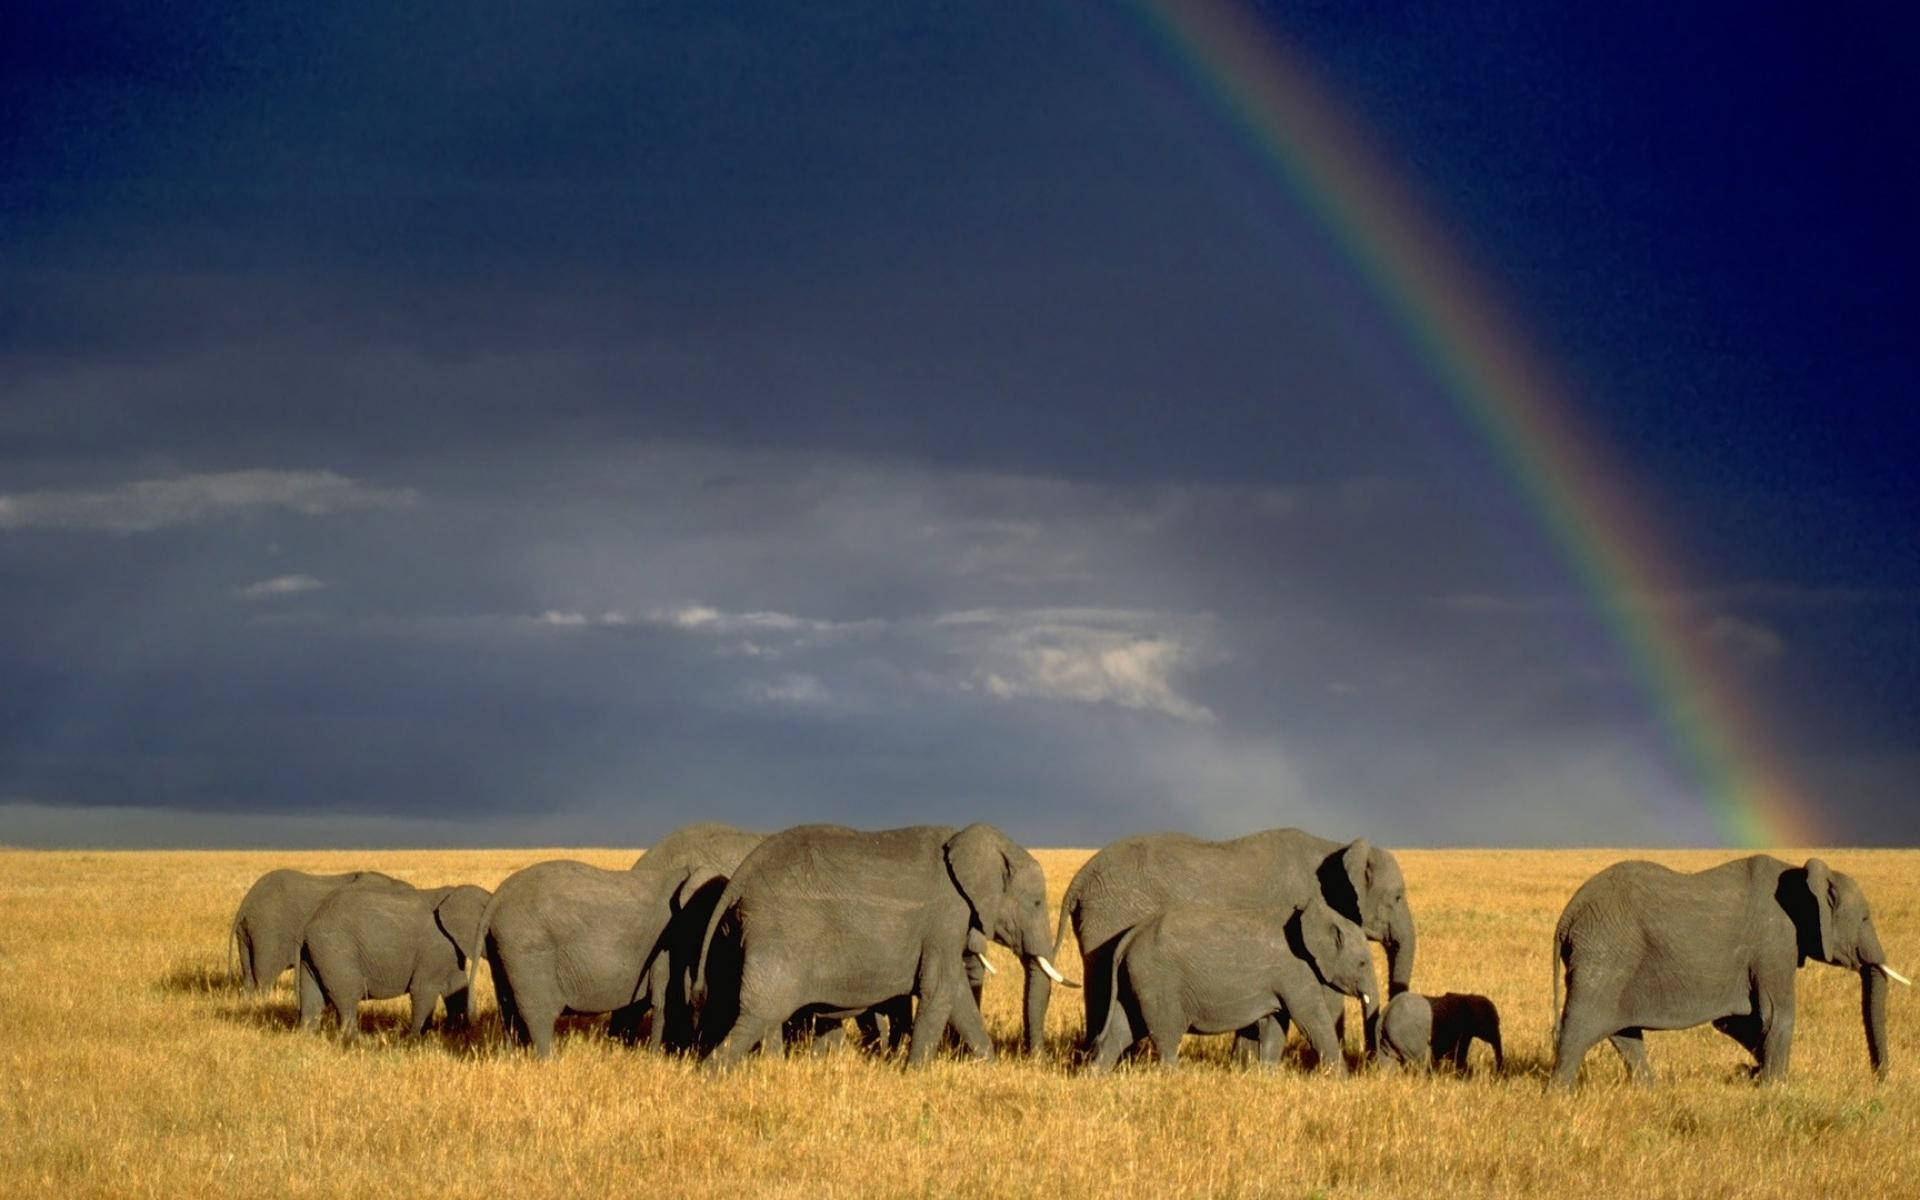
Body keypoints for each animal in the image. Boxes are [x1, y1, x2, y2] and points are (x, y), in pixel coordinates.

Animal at [297, 883, 491, 1039]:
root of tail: (310, 924)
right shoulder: (434, 948)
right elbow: (423, 989)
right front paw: (415, 1041)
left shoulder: (451, 951)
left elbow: (458, 988)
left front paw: (458, 1035)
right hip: (336, 951)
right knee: (348, 995)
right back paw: (355, 1042)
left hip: (316, 953)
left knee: (312, 996)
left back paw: (308, 1039)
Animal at [466, 859, 693, 1058]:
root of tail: (497, 897)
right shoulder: (670, 944)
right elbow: (665, 1000)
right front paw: (656, 1057)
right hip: (528, 948)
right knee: (538, 1013)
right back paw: (547, 1062)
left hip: (501, 949)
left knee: (507, 1009)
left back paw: (513, 1059)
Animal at [698, 823, 1071, 1067]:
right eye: (1037, 903)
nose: (1037, 1063)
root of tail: (742, 875)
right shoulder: (946, 916)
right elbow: (941, 988)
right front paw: (913, 1073)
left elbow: (958, 995)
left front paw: (988, 1066)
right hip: (780, 927)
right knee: (761, 1010)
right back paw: (712, 1074)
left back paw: (770, 1068)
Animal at [1089, 899, 1377, 1074]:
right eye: (1363, 963)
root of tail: (1130, 936)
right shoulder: (1295, 971)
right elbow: (1311, 1019)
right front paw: (1343, 1082)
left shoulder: (1281, 978)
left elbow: (1276, 1023)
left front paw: (1267, 1077)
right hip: (1158, 980)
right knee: (1165, 1033)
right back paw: (1175, 1077)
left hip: (1137, 979)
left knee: (1122, 1029)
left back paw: (1096, 1077)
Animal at [1549, 855, 1910, 1088]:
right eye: (1864, 918)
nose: (1879, 1081)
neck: (1802, 875)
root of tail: (1568, 914)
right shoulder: (1775, 940)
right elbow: (1776, 1015)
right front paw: (1775, 1088)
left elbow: (1738, 1021)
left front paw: (1750, 1074)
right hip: (1606, 950)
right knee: (1581, 1025)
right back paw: (1560, 1096)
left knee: (1623, 1032)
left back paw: (1650, 1091)